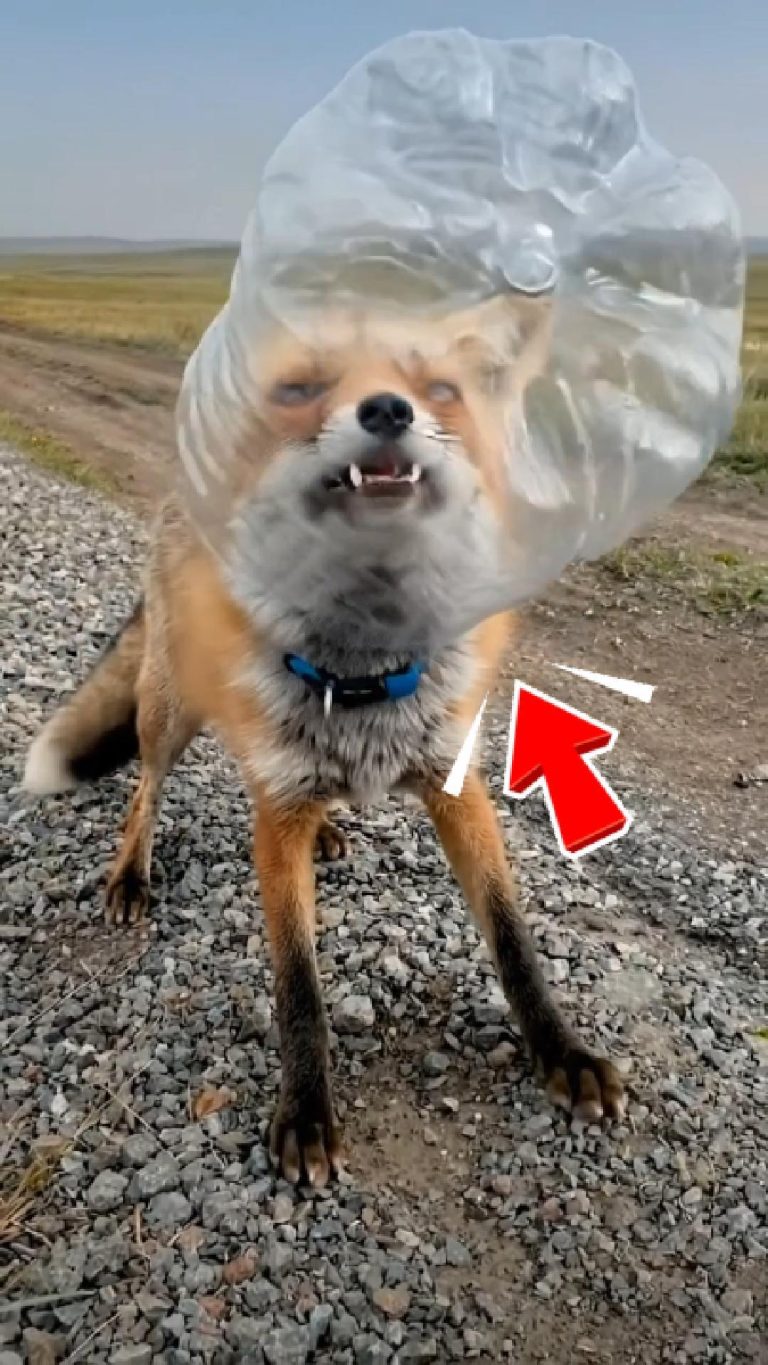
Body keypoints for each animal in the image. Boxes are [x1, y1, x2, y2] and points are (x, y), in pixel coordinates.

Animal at [23, 291, 625, 1186]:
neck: (367, 672)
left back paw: (332, 826)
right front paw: (306, 1111)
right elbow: (297, 985)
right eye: (302, 389)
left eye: (439, 388)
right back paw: (131, 874)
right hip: (171, 707)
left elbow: (514, 939)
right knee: (148, 787)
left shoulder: (455, 784)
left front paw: (563, 1053)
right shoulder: (277, 817)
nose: (387, 410)